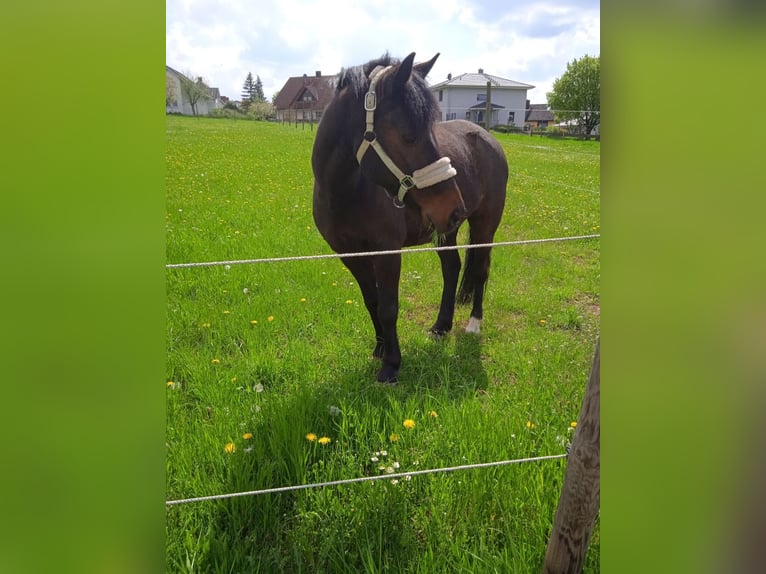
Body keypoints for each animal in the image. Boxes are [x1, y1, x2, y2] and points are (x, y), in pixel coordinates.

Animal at [312, 52, 508, 383]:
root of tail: (486, 137)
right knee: (452, 268)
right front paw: (380, 349)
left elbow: (389, 307)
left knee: (480, 270)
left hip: (484, 225)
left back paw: (473, 324)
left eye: (430, 131)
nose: (454, 208)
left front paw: (391, 365)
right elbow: (372, 301)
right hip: (446, 231)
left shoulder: (388, 252)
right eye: (409, 136)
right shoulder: (351, 255)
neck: (347, 191)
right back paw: (441, 326)